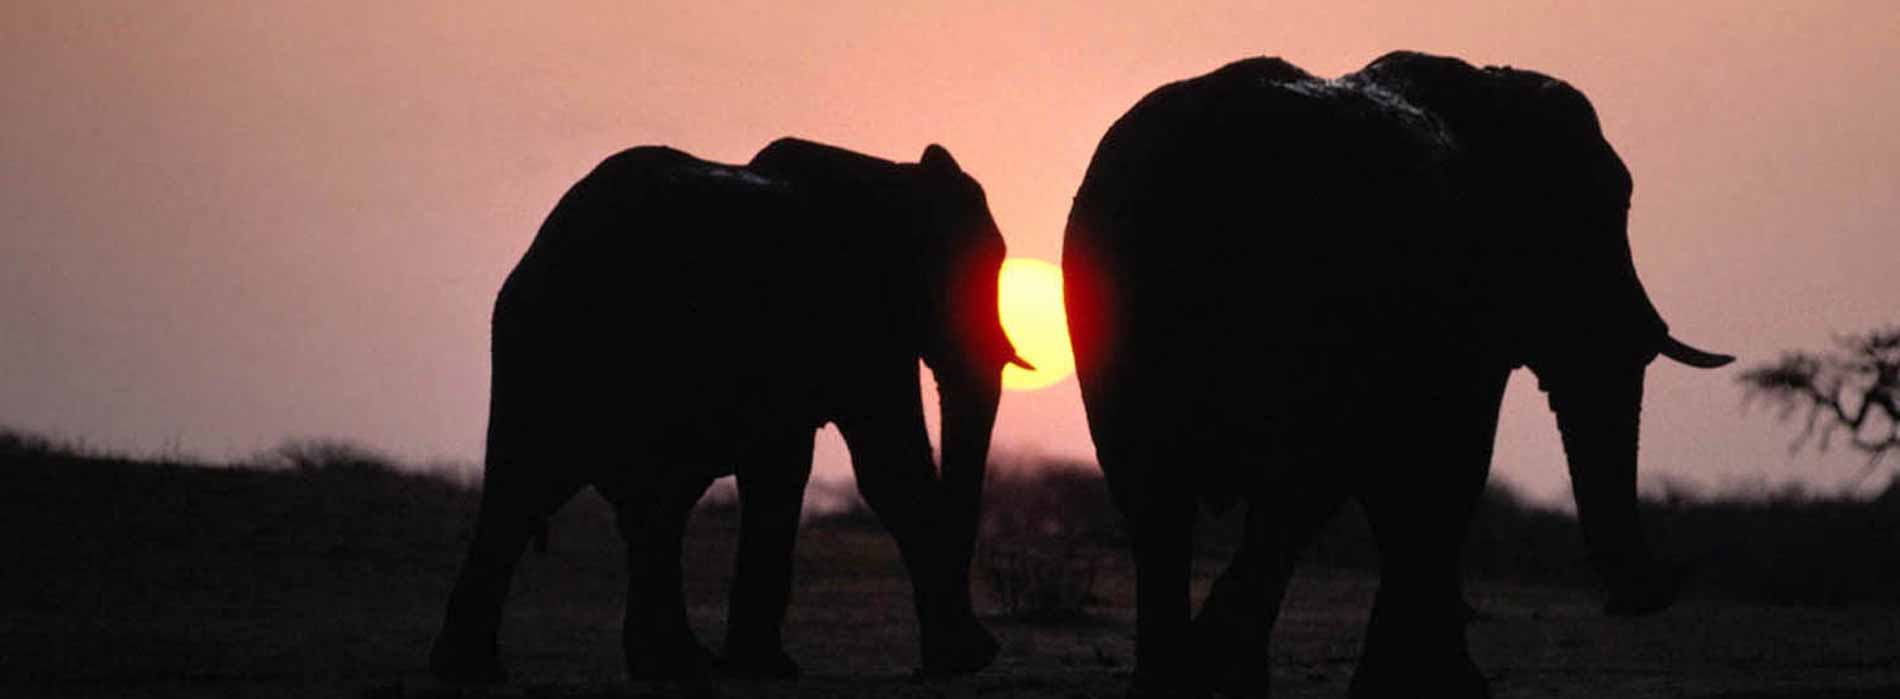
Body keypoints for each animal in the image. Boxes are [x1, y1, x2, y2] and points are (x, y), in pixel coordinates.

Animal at [430, 138, 1027, 684]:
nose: (972, 647)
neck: (890, 176)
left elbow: (783, 470)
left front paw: (762, 667)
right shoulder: (858, 319)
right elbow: (887, 470)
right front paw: (966, 658)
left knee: (592, 497)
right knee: (559, 488)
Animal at [1061, 52, 1733, 696]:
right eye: (1603, 211)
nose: (1651, 591)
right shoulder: (1465, 320)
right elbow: (1451, 464)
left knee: (1157, 504)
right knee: (1293, 492)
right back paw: (1213, 672)